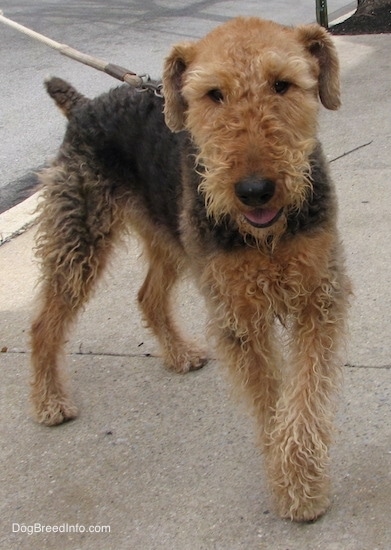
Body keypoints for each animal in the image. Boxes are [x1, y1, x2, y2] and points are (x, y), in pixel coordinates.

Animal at [29, 17, 352, 524]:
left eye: (282, 84)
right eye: (213, 93)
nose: (255, 190)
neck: (267, 235)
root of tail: (84, 106)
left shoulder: (319, 296)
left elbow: (303, 396)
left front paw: (299, 483)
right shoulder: (239, 313)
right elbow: (272, 402)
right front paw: (295, 488)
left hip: (169, 239)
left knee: (146, 295)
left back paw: (179, 354)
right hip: (80, 239)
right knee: (45, 325)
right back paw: (50, 402)